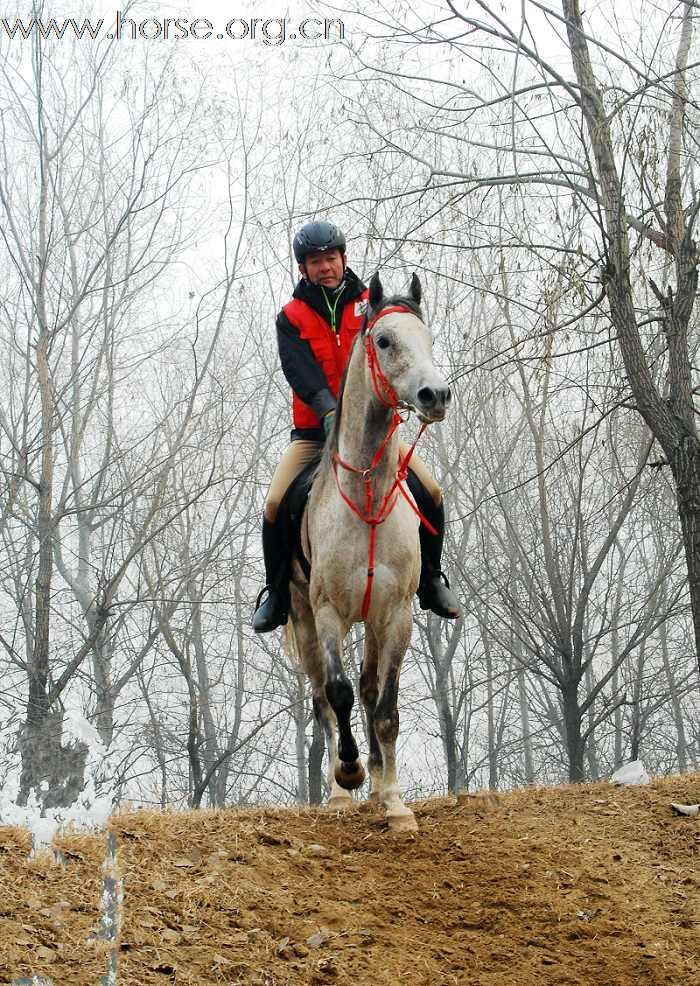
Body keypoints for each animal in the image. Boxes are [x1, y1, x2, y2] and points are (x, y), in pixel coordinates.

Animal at [284, 270, 454, 832]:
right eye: (384, 341)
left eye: (427, 338)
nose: (435, 395)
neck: (366, 496)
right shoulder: (328, 612)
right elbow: (336, 694)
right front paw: (349, 773)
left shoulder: (394, 614)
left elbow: (385, 705)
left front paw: (395, 802)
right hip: (304, 618)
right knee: (323, 697)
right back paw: (342, 789)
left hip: (375, 620)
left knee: (368, 686)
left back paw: (379, 781)